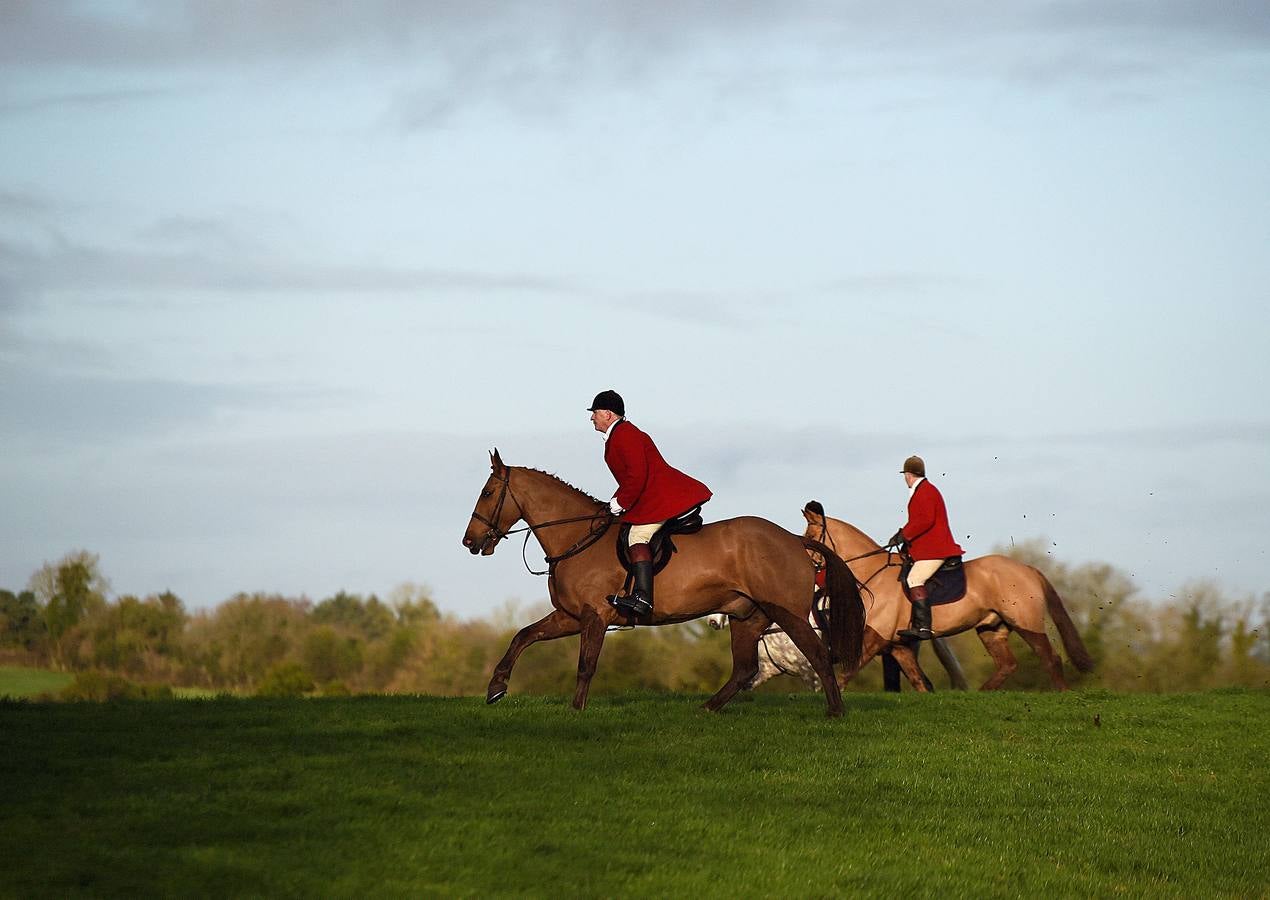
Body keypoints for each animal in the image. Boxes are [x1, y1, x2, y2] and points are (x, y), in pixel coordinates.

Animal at [461, 450, 865, 716]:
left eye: (487, 493)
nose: (469, 541)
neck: (577, 537)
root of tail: (793, 539)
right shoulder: (569, 616)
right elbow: (523, 636)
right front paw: (496, 688)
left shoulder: (595, 617)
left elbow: (585, 665)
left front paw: (576, 711)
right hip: (747, 616)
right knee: (744, 669)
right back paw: (706, 708)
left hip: (788, 613)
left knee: (817, 655)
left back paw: (835, 711)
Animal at [801, 507, 1094, 691]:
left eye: (811, 537)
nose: (805, 566)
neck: (873, 575)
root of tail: (1028, 569)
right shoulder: (897, 645)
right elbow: (921, 683)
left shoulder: (877, 638)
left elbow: (844, 674)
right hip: (991, 628)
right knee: (1007, 664)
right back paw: (980, 693)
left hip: (1026, 623)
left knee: (1050, 658)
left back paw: (1062, 693)